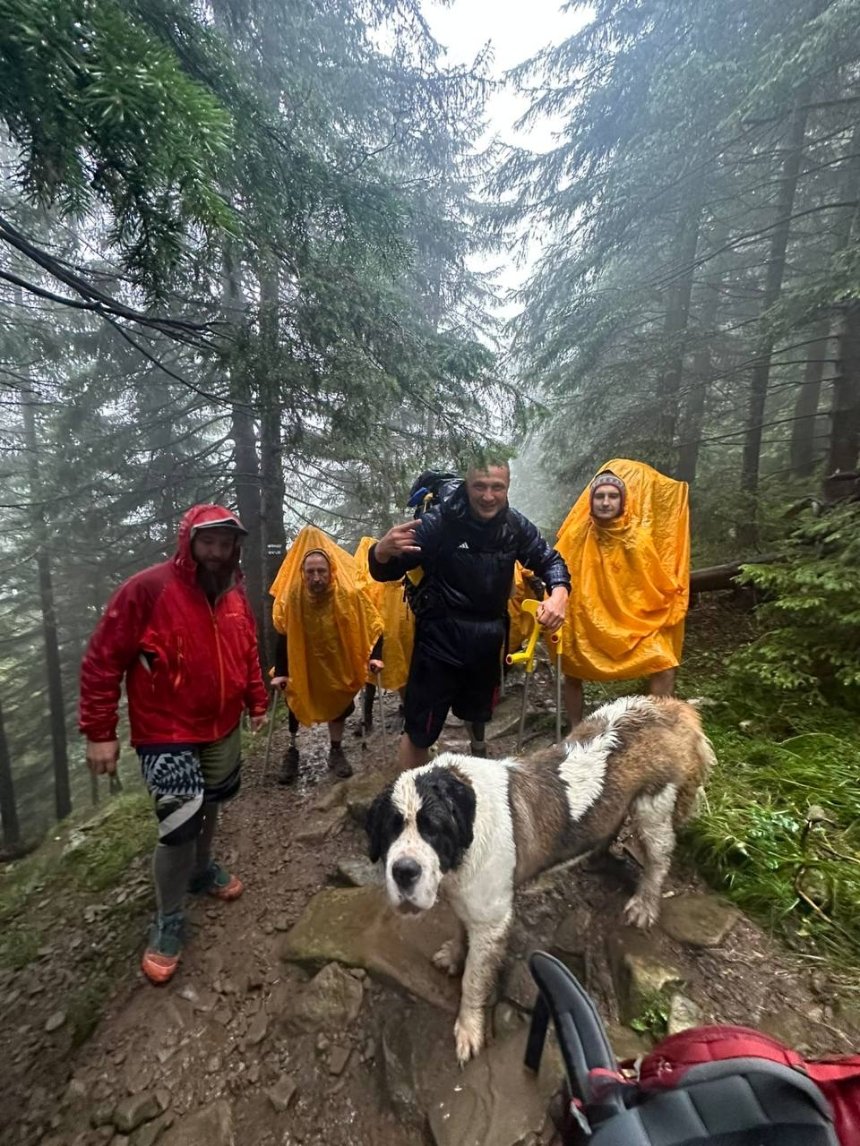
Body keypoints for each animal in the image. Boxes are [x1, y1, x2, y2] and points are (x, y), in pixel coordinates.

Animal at [366, 696, 715, 1063]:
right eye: (390, 829)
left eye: (433, 828)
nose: (404, 871)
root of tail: (671, 707)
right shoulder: (469, 899)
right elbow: (462, 929)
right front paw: (455, 954)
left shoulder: (491, 920)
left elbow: (474, 980)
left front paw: (468, 1029)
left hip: (654, 809)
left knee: (659, 858)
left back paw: (645, 904)